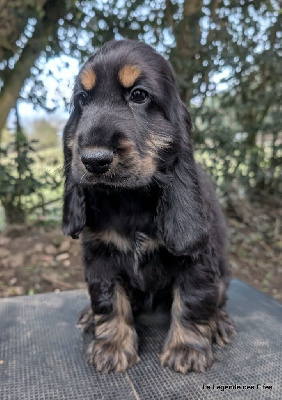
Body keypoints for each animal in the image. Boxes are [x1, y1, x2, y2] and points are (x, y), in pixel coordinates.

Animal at [62, 39, 236, 374]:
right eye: (82, 99)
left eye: (139, 95)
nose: (93, 160)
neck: (130, 198)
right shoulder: (101, 255)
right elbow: (108, 299)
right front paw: (111, 346)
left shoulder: (197, 260)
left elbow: (193, 300)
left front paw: (186, 348)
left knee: (218, 297)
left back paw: (219, 322)